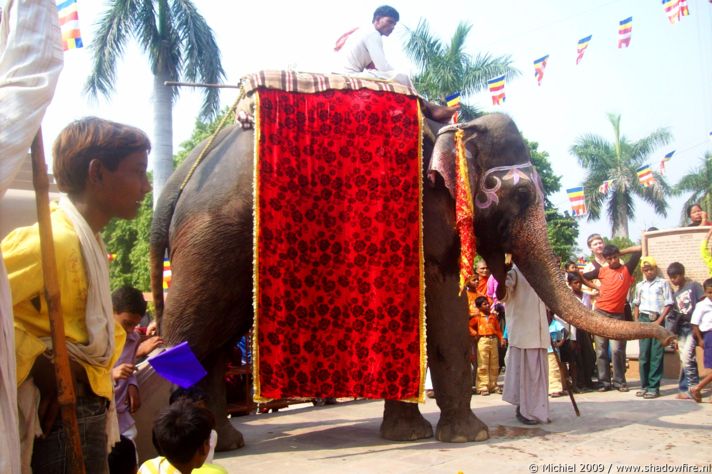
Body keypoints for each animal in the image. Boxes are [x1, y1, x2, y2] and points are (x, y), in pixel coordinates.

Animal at [150, 110, 672, 452]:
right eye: (521, 194)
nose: (668, 333)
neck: (451, 128)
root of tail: (179, 177)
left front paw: (411, 433)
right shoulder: (428, 211)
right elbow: (443, 304)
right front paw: (470, 436)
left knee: (216, 340)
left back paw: (226, 443)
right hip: (215, 238)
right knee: (194, 335)